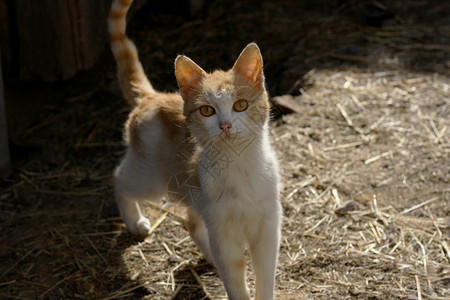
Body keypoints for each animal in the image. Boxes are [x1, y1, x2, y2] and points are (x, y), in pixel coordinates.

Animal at [108, 0, 282, 298]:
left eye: (240, 105)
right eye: (207, 111)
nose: (225, 126)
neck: (239, 167)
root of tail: (152, 97)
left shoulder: (268, 228)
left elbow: (265, 276)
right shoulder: (224, 235)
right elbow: (235, 281)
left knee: (190, 220)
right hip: (151, 180)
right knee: (119, 179)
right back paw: (135, 221)